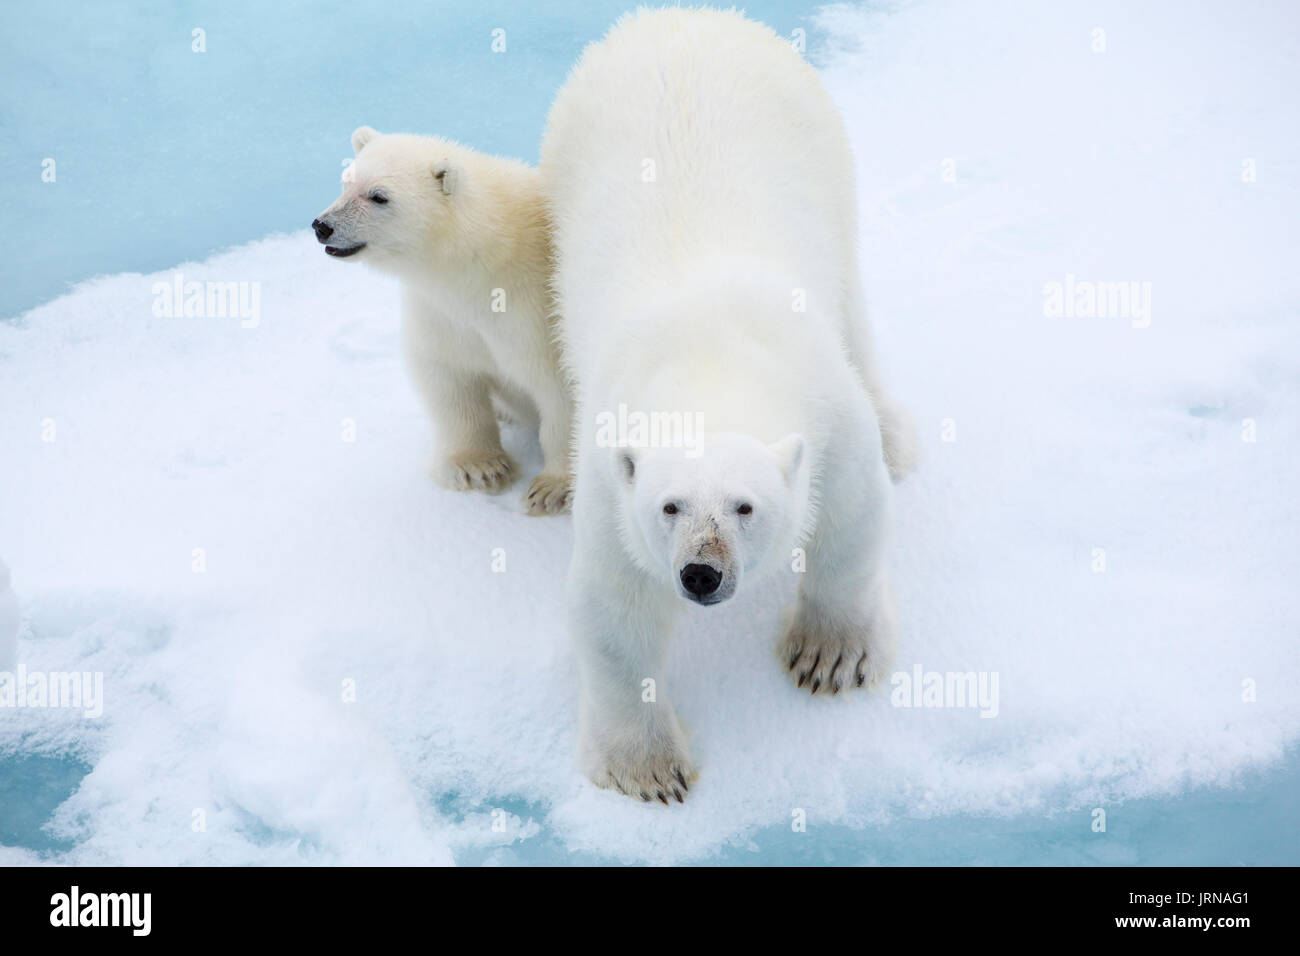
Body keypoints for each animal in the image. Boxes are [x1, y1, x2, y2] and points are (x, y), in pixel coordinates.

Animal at [312, 128, 572, 515]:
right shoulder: (442, 313)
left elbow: (563, 391)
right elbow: (448, 377)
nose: (322, 226)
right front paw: (478, 468)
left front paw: (554, 489)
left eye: (379, 196)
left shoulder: (538, 310)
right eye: (347, 181)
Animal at [538, 9, 915, 801]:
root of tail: (681, 17)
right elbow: (614, 606)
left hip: (825, 150)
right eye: (670, 506)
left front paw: (830, 657)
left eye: (745, 505)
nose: (701, 574)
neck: (708, 355)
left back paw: (899, 435)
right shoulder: (612, 473)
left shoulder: (826, 411)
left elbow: (852, 516)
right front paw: (647, 768)